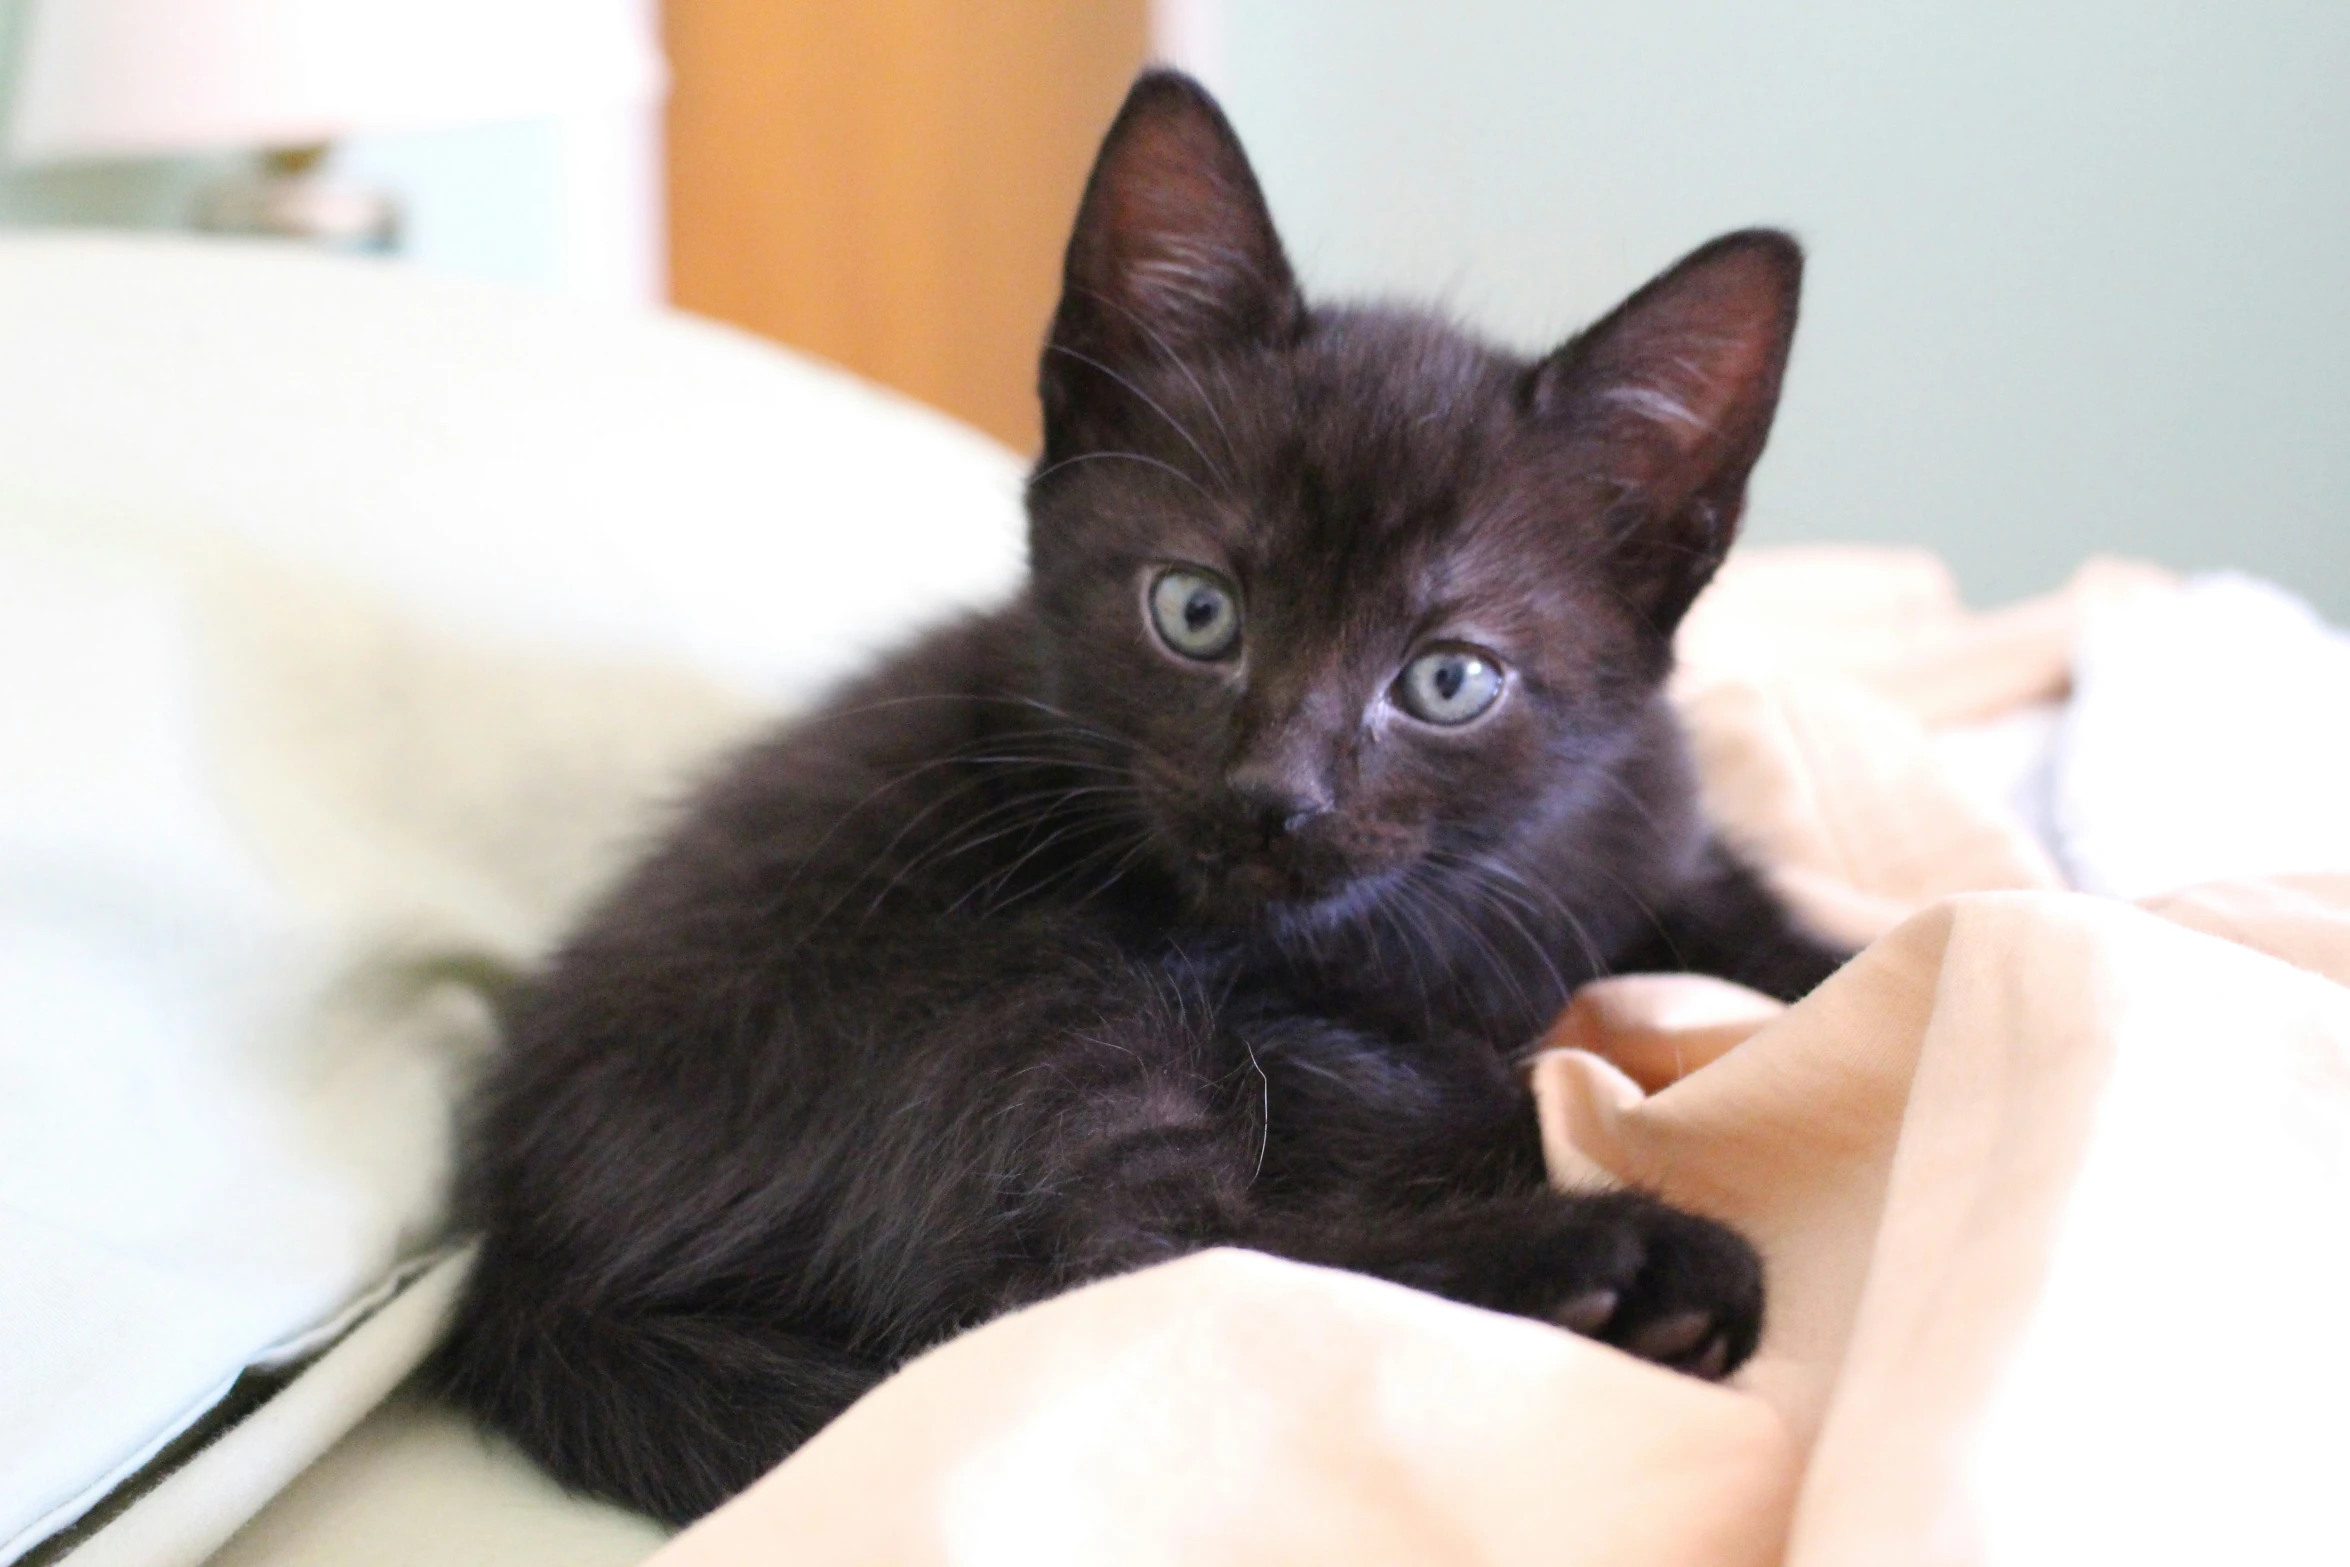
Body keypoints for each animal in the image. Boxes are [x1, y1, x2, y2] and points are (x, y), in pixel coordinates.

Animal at [432, 70, 1842, 1522]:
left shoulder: (1652, 827)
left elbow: (1798, 942)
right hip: (1022, 983)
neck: (1451, 900)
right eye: (1195, 611)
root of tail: (518, 1260)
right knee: (1123, 1275)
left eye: (1449, 680)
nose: (1272, 795)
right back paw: (1630, 1267)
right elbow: (1359, 1126)